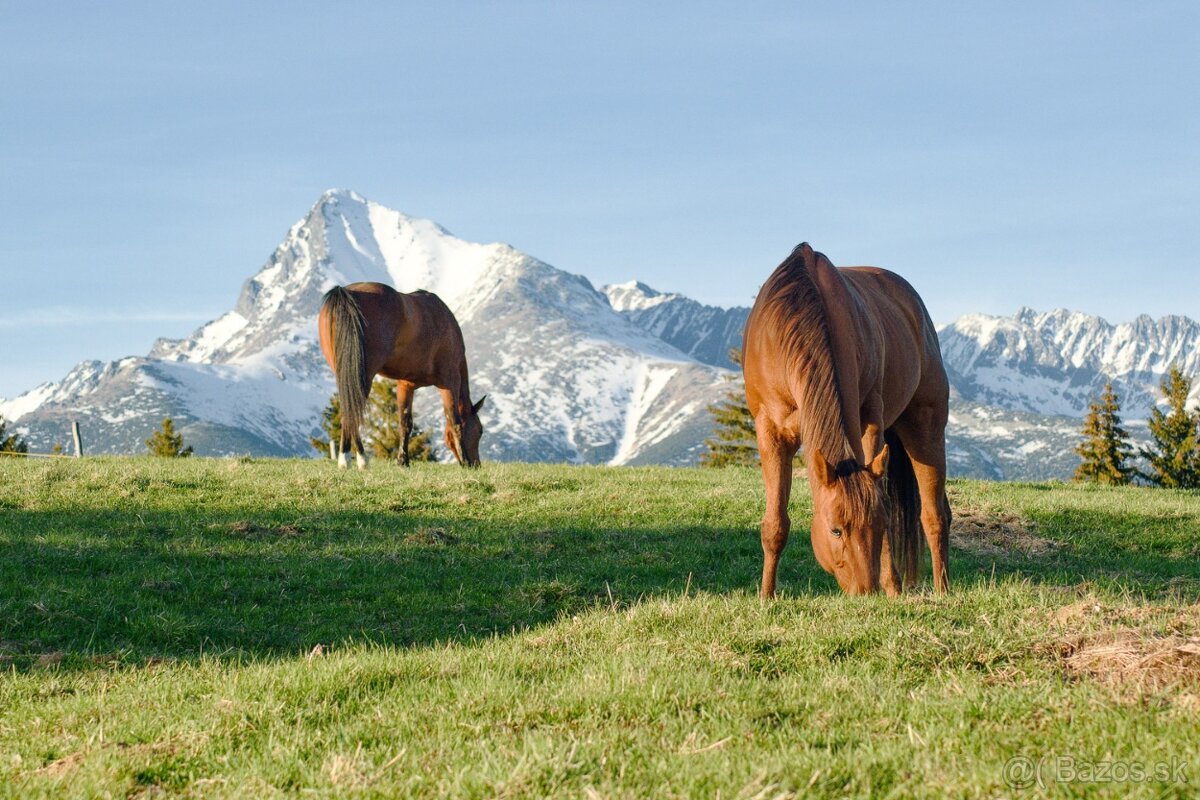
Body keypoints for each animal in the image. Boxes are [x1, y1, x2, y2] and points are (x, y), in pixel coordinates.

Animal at [324, 281, 487, 470]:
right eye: (480, 430)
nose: (476, 464)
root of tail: (346, 292)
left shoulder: (405, 385)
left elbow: (405, 423)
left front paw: (403, 460)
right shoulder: (449, 382)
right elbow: (455, 421)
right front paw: (465, 461)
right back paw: (357, 459)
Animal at [739, 242, 945, 594]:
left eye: (879, 524)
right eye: (835, 529)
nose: (866, 591)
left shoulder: (869, 422)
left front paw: (892, 587)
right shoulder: (771, 431)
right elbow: (775, 523)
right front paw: (767, 595)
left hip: (926, 427)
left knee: (935, 516)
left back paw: (943, 590)